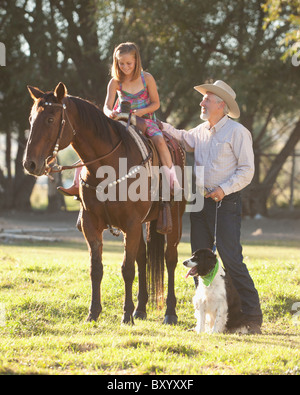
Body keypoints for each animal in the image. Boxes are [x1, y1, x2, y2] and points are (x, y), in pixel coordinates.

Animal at [24, 82, 185, 326]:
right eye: (31, 119)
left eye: (51, 119)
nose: (30, 164)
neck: (108, 165)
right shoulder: (91, 224)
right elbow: (96, 268)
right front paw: (94, 312)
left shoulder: (131, 224)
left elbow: (127, 269)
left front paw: (126, 315)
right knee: (143, 258)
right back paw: (141, 309)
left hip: (174, 218)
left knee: (170, 259)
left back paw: (170, 312)